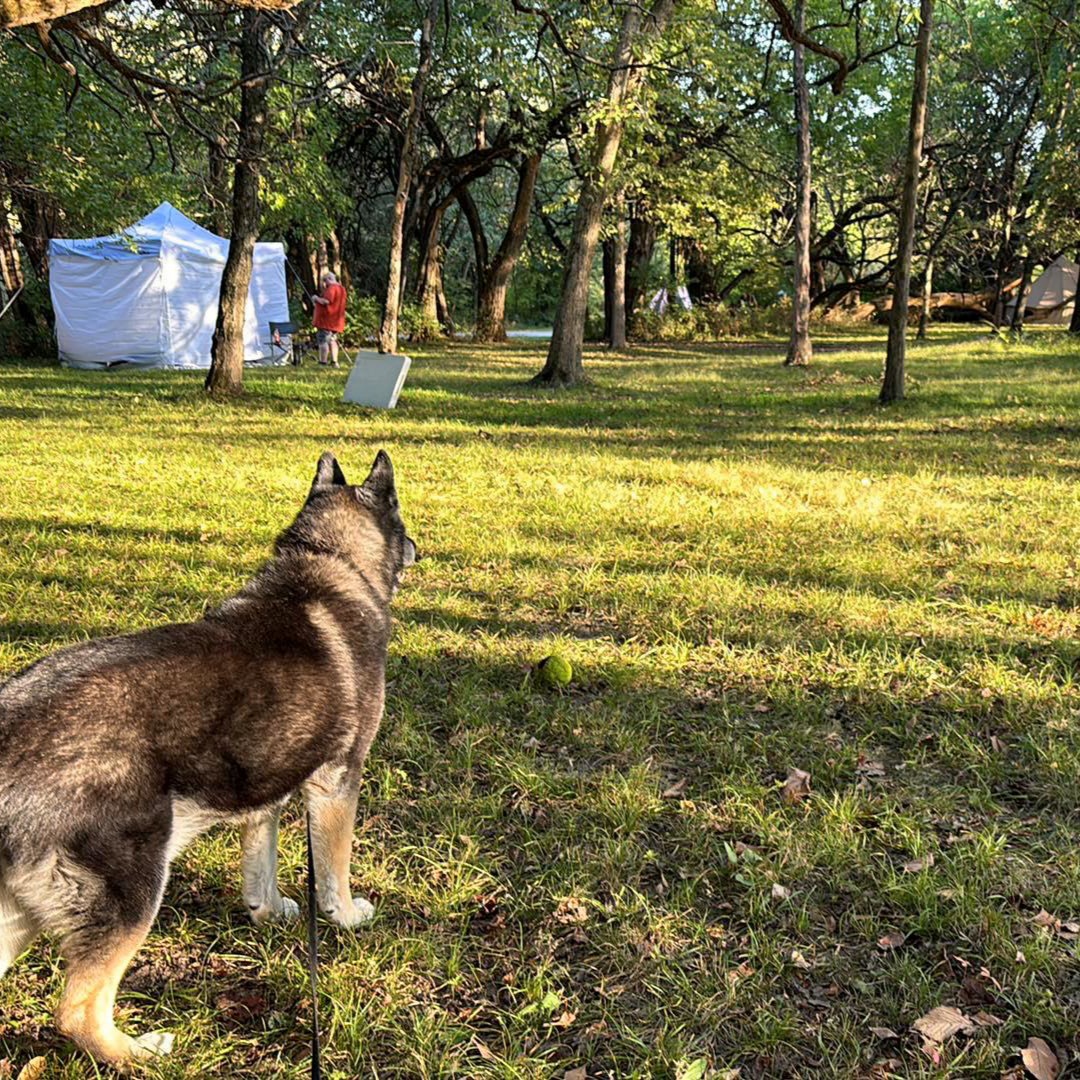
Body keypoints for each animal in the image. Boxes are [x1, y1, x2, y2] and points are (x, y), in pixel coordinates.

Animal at [0, 450, 416, 1069]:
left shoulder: (264, 794)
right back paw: (141, 1052)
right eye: (403, 521)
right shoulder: (339, 781)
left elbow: (260, 870)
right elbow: (334, 872)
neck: (328, 560)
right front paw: (345, 916)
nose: (418, 547)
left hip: (18, 915)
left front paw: (271, 912)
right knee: (77, 1011)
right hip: (134, 892)